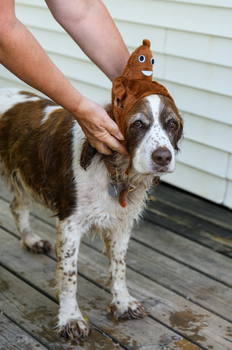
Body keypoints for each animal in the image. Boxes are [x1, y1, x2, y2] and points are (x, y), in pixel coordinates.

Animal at [0, 87, 183, 340]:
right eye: (137, 124)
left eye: (172, 124)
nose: (163, 157)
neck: (113, 168)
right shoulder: (70, 225)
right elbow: (69, 276)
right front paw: (71, 318)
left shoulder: (121, 224)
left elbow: (119, 266)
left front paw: (123, 303)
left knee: (17, 207)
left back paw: (31, 240)